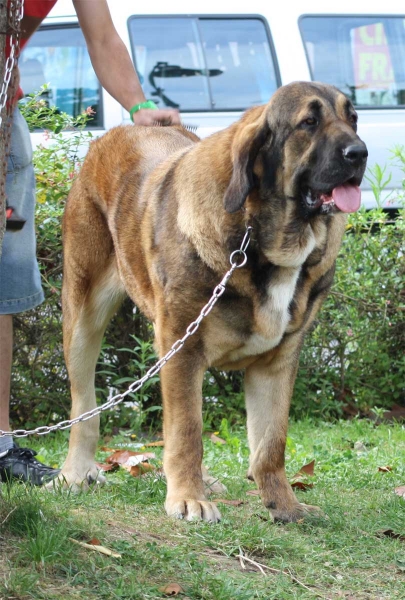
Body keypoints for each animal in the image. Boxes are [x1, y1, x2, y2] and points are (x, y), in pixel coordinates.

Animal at [56, 82, 366, 524]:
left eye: (352, 118)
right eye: (308, 122)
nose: (359, 153)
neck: (264, 238)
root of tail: (114, 133)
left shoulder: (278, 362)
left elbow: (270, 444)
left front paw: (284, 504)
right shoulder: (181, 348)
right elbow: (187, 431)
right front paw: (188, 498)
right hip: (83, 316)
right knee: (85, 404)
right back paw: (76, 472)